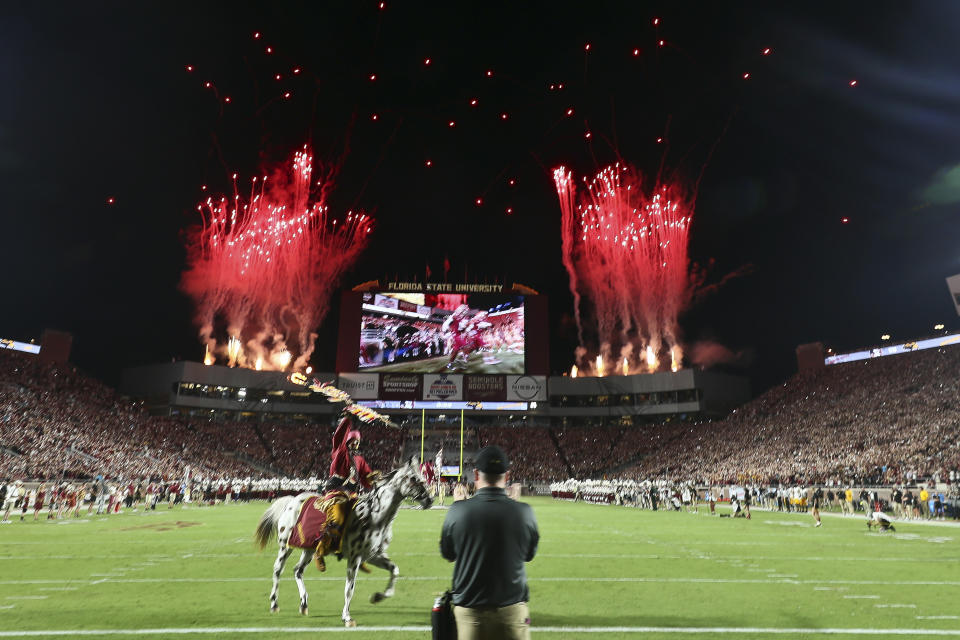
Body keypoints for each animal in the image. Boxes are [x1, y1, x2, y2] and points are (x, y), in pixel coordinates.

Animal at [255, 458, 436, 628]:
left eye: (422, 477)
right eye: (414, 479)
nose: (430, 500)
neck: (375, 517)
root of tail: (292, 500)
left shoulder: (374, 555)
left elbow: (394, 570)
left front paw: (377, 597)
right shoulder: (355, 558)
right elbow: (350, 588)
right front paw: (347, 617)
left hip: (309, 549)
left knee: (297, 570)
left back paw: (304, 604)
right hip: (285, 546)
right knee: (278, 570)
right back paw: (274, 603)